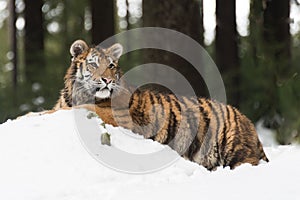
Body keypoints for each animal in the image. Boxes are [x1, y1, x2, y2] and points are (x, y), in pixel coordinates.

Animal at [54, 39, 270, 170]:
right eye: (94, 64)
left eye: (111, 66)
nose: (107, 80)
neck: (77, 94)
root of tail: (247, 121)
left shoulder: (117, 118)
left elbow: (80, 109)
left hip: (235, 149)